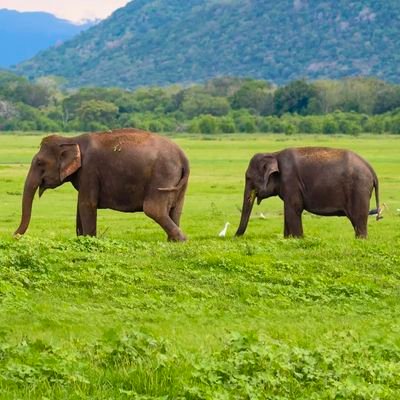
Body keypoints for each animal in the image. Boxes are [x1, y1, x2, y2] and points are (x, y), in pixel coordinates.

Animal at [14, 128, 190, 241]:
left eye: (39, 163)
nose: (14, 236)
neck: (71, 140)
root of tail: (183, 156)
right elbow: (80, 206)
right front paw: (81, 239)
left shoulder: (89, 170)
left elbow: (87, 204)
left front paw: (89, 240)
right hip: (178, 182)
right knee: (176, 210)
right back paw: (172, 242)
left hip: (162, 174)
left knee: (154, 209)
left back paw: (181, 240)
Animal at [236, 148, 382, 239]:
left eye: (248, 178)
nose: (234, 237)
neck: (274, 154)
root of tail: (371, 169)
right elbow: (289, 211)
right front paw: (287, 239)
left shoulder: (290, 181)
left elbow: (293, 209)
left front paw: (297, 239)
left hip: (359, 190)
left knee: (358, 220)